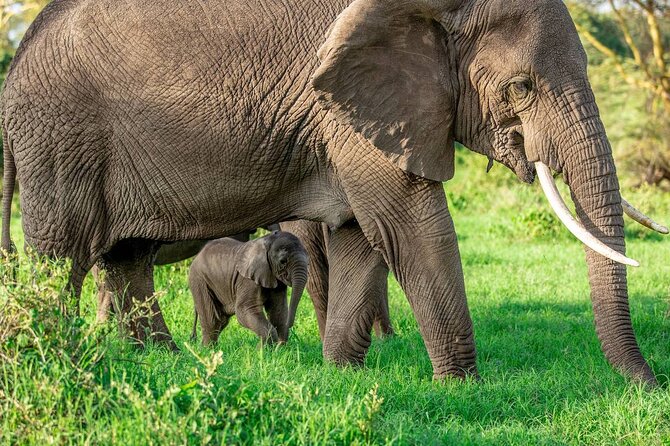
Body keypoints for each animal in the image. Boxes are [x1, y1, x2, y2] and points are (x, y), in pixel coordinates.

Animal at [1, 0, 666, 384]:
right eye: (522, 86)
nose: (648, 384)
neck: (436, 7)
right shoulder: (350, 107)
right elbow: (408, 224)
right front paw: (463, 388)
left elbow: (361, 237)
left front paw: (340, 375)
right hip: (60, 136)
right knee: (62, 256)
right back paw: (56, 358)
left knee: (126, 258)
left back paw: (159, 362)